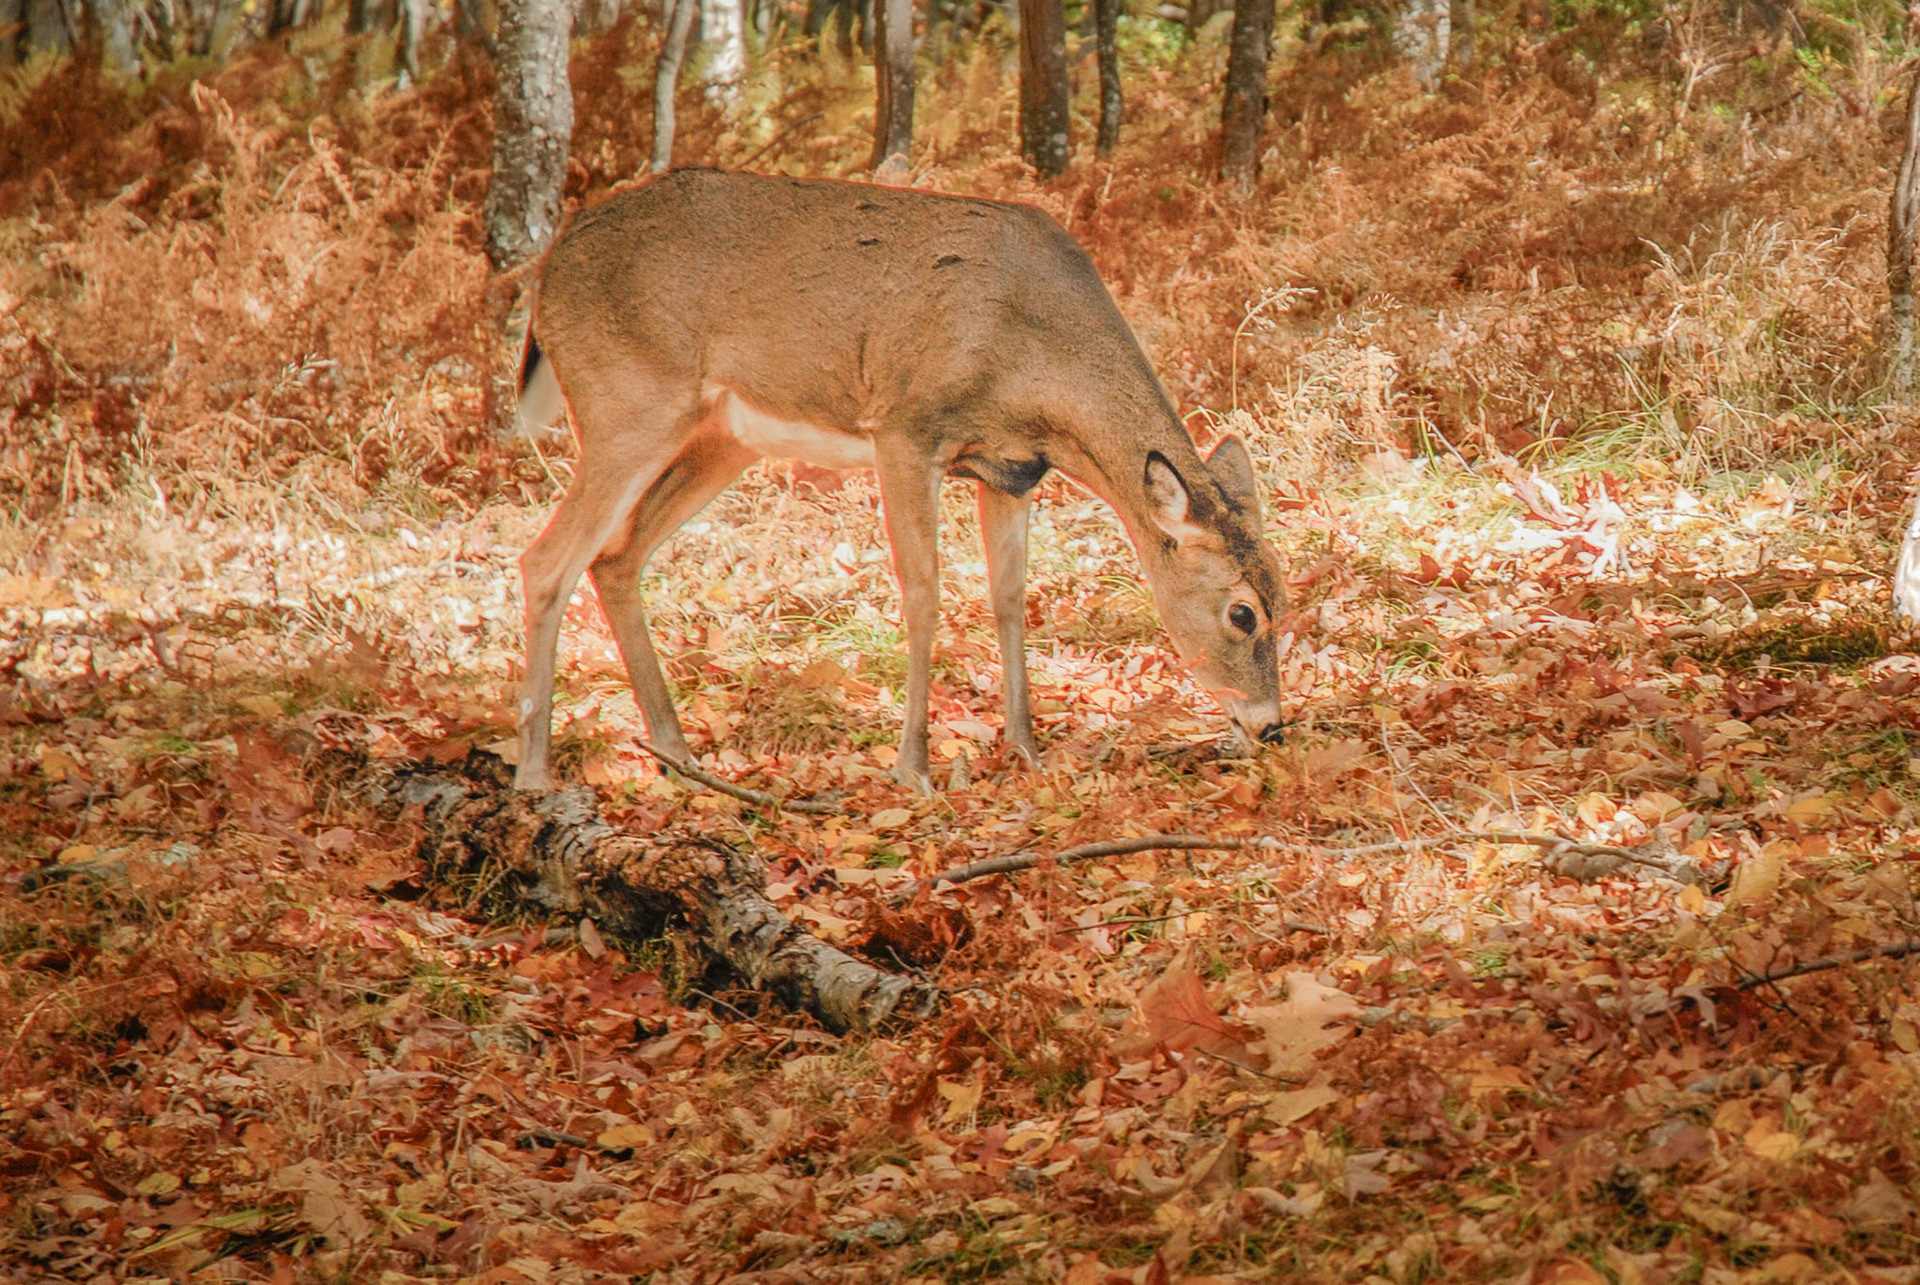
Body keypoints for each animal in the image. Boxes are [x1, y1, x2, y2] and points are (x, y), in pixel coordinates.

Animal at [511, 169, 1288, 792]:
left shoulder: (1011, 471)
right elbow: (923, 594)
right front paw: (913, 768)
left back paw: (677, 753)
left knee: (616, 556)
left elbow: (1010, 600)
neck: (1037, 369)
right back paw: (535, 772)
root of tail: (548, 274)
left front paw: (1027, 750)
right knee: (546, 558)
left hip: (722, 436)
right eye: (1242, 613)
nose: (1272, 726)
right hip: (628, 403)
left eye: (1285, 595)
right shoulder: (907, 428)